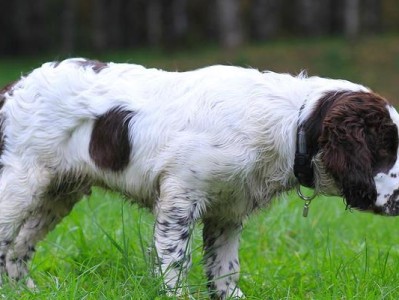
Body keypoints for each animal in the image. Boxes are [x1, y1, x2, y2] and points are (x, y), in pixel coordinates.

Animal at [0, 58, 399, 298]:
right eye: (385, 147)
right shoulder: (180, 199)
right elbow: (176, 262)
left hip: (56, 193)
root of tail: (15, 87)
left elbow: (225, 267)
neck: (290, 126)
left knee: (19, 247)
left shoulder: (227, 211)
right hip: (20, 184)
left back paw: (26, 291)